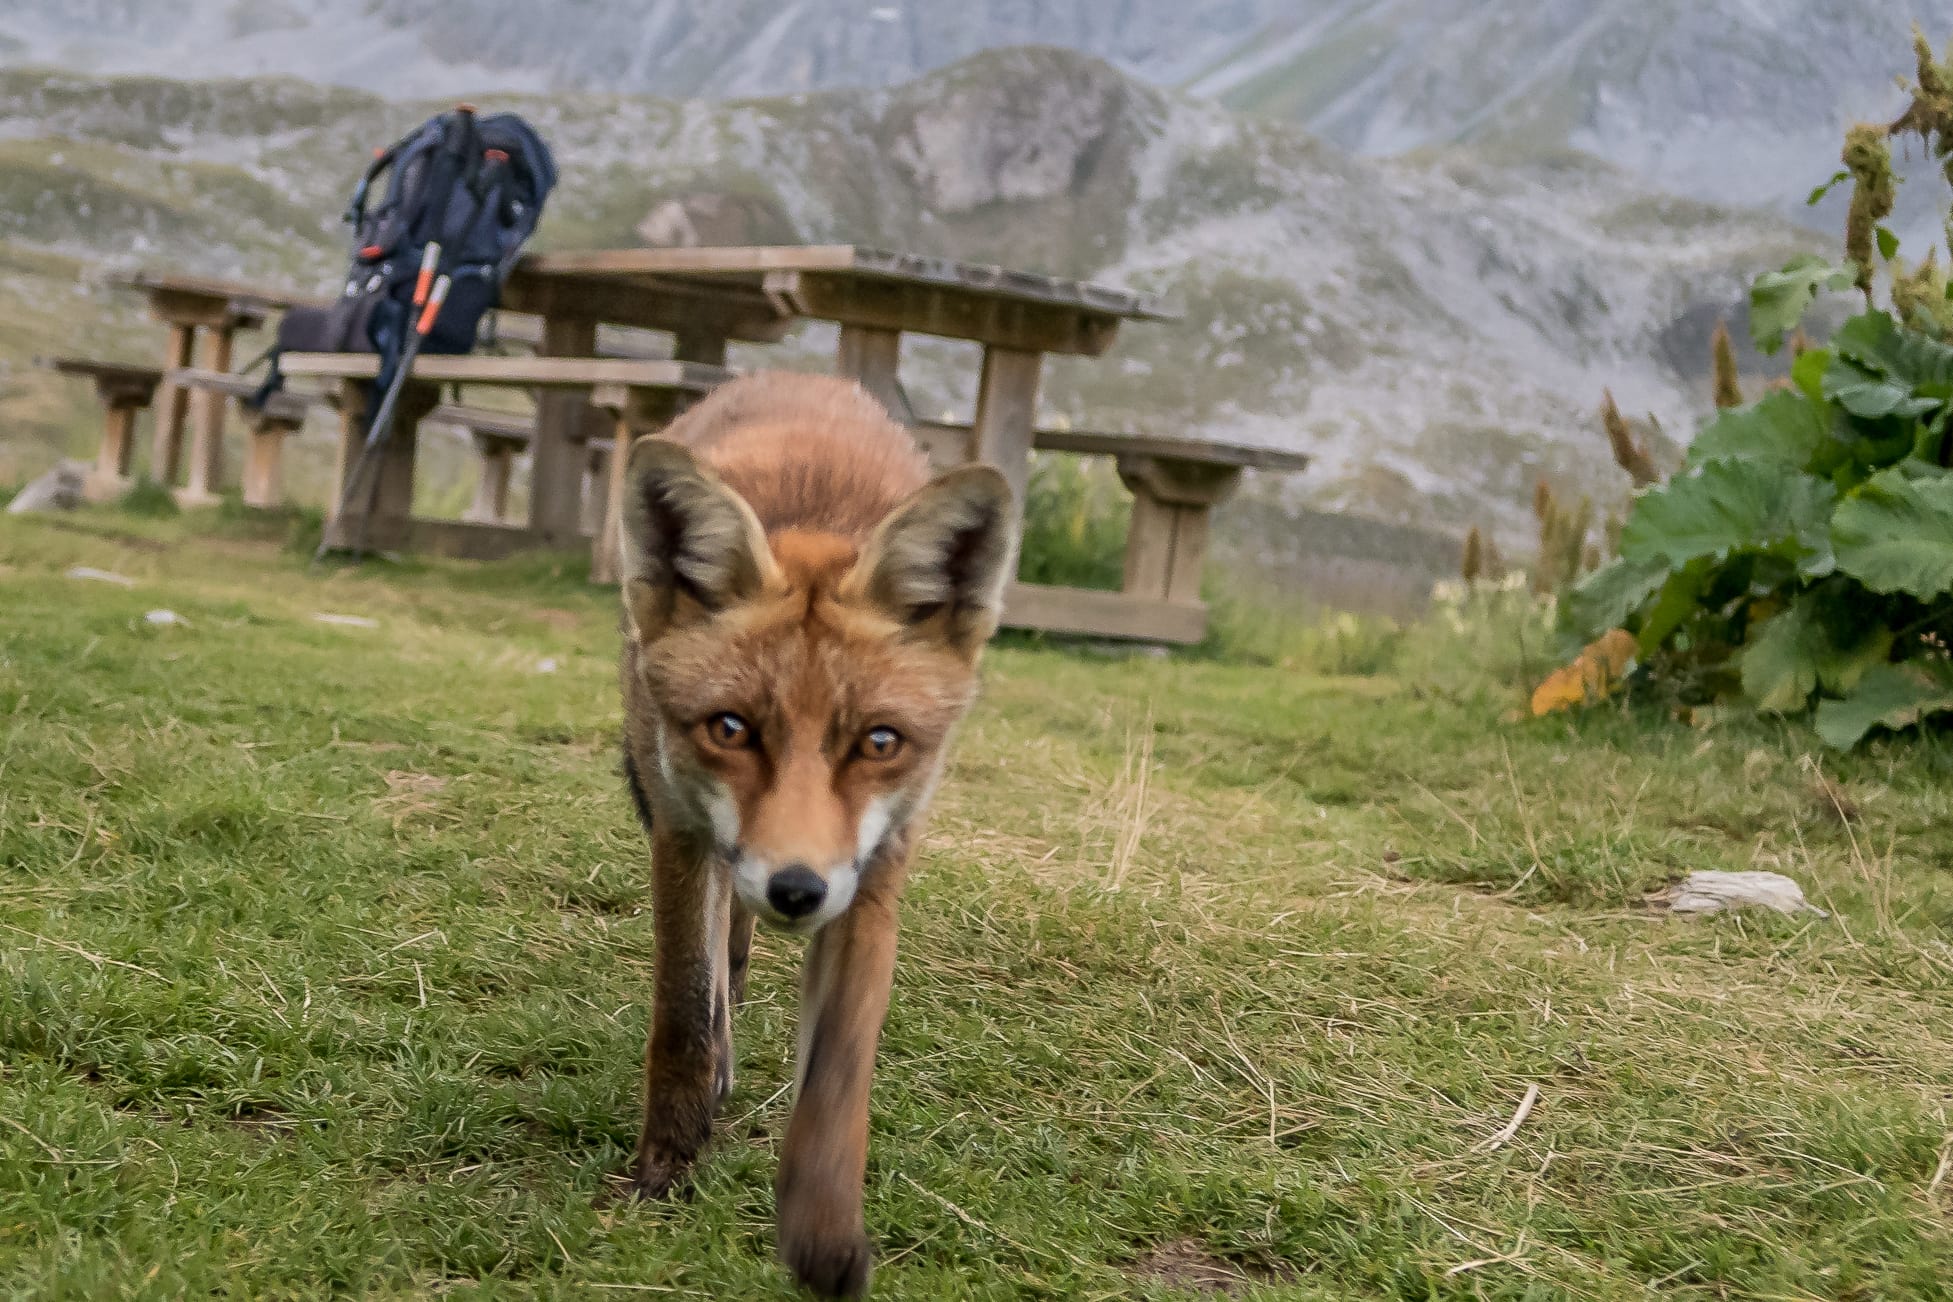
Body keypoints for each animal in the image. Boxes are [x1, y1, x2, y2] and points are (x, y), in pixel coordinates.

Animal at [609, 370, 1015, 1296]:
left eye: (878, 742)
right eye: (729, 729)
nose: (796, 888)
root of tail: (804, 373)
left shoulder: (874, 868)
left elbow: (837, 1071)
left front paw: (822, 1232)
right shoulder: (680, 831)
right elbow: (683, 1015)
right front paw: (667, 1164)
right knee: (718, 958)